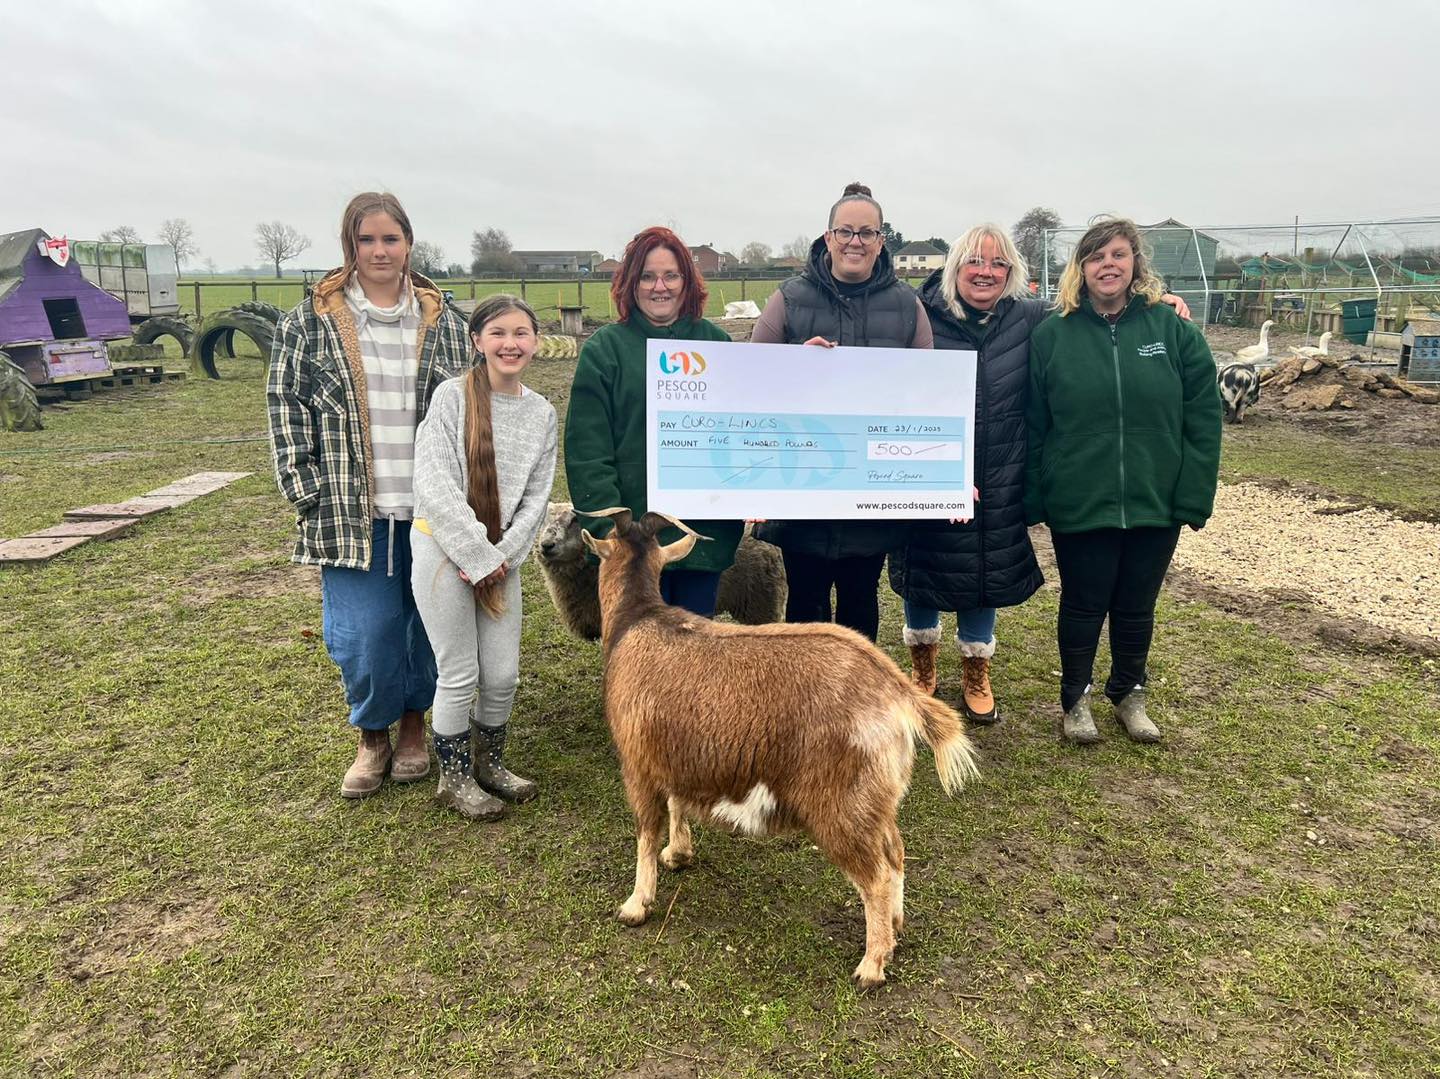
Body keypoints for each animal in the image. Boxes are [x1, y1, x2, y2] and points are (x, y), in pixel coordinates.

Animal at [576, 504, 979, 985]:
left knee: (876, 876)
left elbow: (645, 832)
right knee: (896, 852)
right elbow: (677, 804)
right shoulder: (674, 755)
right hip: (875, 799)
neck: (637, 620)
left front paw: (636, 905)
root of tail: (899, 693)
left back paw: (872, 964)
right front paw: (679, 853)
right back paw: (896, 927)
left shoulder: (638, 764)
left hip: (839, 802)